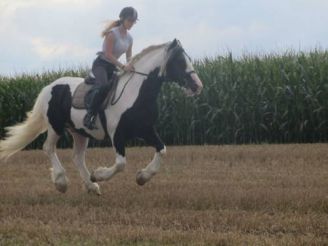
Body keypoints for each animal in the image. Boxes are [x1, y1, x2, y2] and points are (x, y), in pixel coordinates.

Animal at [0, 39, 204, 195]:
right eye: (179, 61)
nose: (198, 85)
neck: (137, 94)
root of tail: (49, 87)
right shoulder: (117, 134)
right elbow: (121, 163)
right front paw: (99, 174)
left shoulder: (146, 129)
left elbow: (162, 150)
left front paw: (142, 177)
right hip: (55, 126)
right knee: (48, 148)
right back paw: (62, 182)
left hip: (79, 132)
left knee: (77, 157)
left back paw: (92, 186)